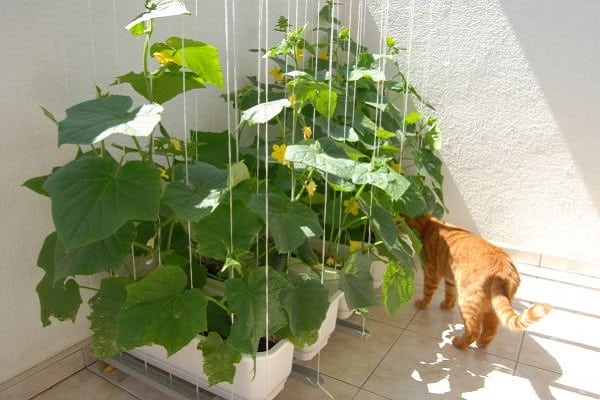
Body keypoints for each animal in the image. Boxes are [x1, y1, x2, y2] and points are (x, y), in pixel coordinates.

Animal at [408, 214, 552, 348]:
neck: (429, 225)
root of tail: (503, 268)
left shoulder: (431, 273)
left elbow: (427, 293)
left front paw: (422, 304)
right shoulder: (450, 280)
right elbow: (450, 294)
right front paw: (447, 305)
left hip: (467, 301)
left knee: (473, 330)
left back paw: (458, 343)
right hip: (492, 307)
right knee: (491, 330)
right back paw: (481, 344)